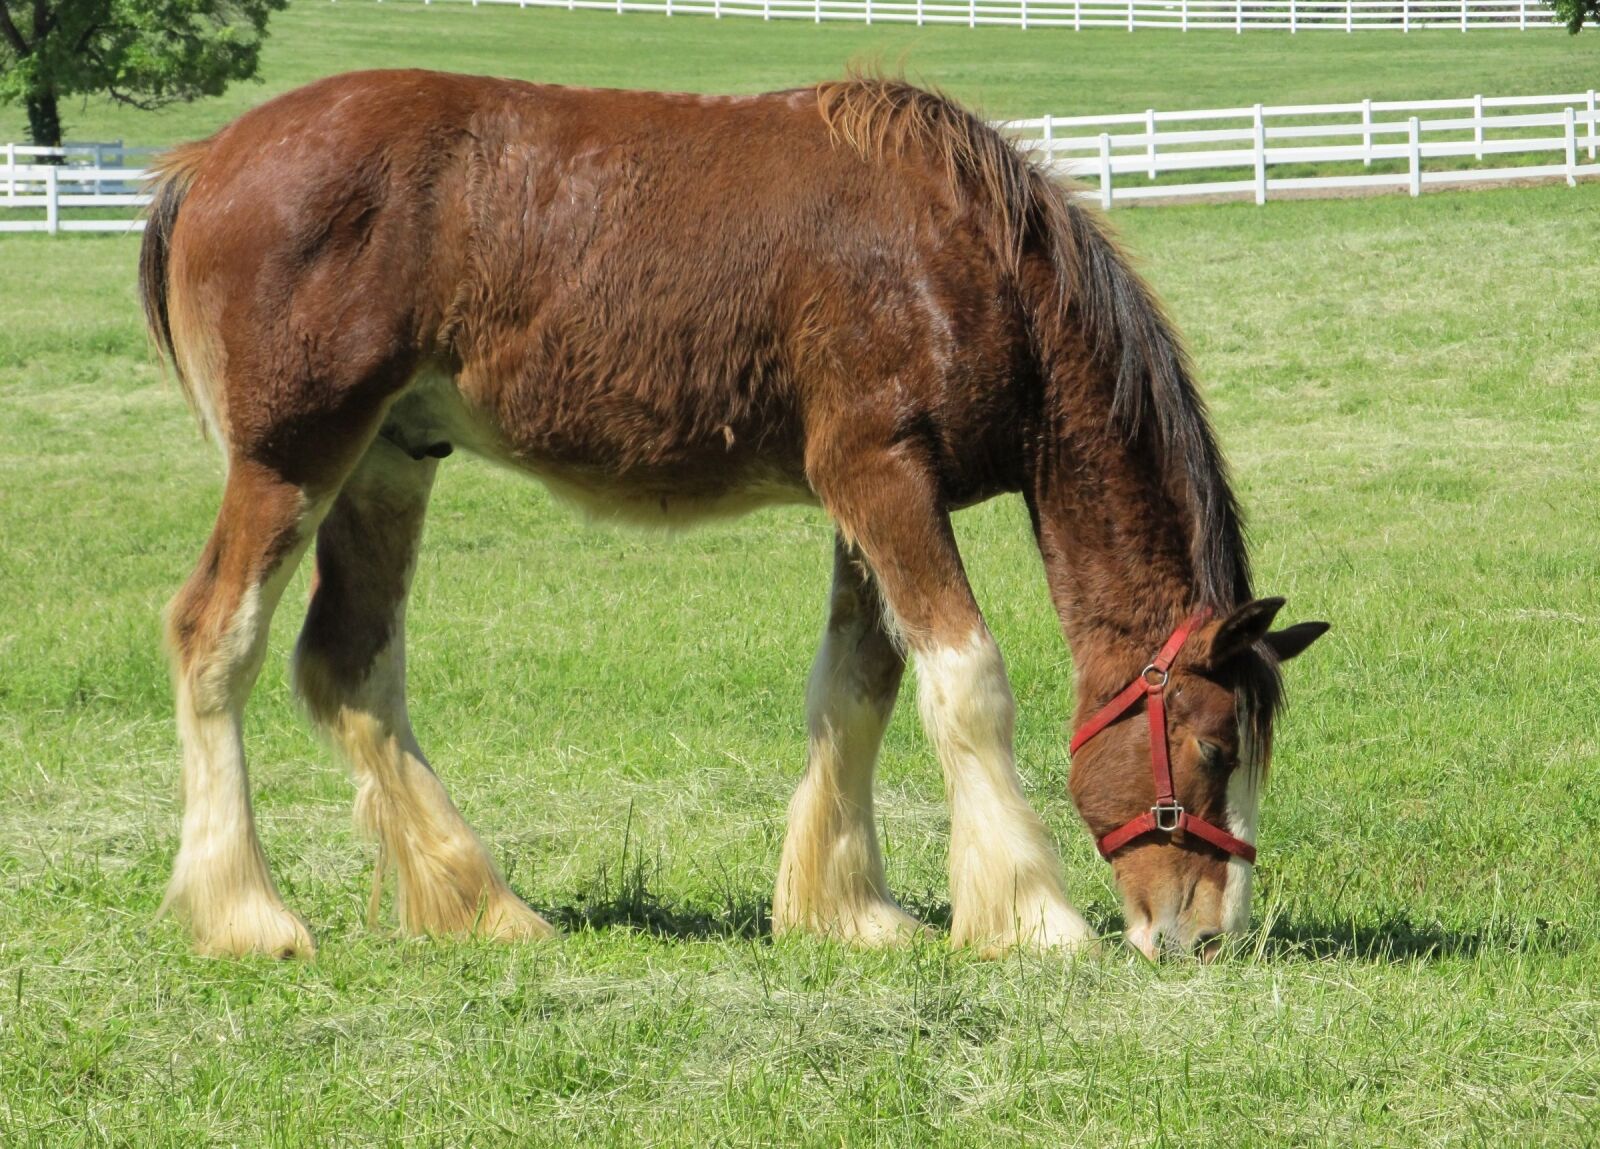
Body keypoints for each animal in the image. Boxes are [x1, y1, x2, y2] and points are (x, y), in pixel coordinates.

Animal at [137, 69, 1327, 961]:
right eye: (1213, 744)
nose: (1205, 938)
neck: (960, 256)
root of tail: (210, 160)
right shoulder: (883, 477)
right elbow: (966, 684)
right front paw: (1032, 917)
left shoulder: (871, 499)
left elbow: (859, 690)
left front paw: (850, 910)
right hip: (292, 462)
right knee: (213, 639)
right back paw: (249, 914)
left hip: (390, 460)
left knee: (350, 666)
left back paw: (483, 905)